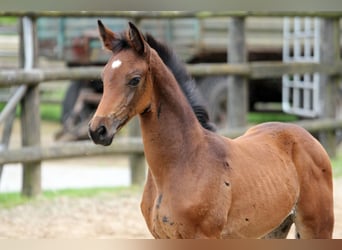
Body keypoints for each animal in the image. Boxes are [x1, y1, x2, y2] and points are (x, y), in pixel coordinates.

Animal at [89, 21, 334, 238]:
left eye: (134, 79)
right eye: (103, 77)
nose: (97, 130)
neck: (182, 162)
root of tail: (308, 137)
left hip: (318, 227)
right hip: (273, 230)